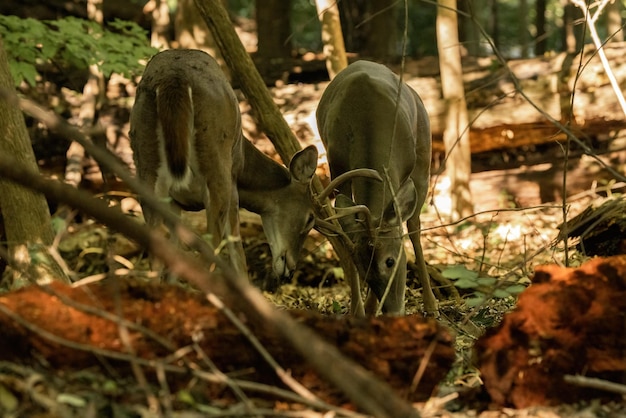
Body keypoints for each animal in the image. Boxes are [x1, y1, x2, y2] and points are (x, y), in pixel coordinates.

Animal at [130, 49, 316, 284]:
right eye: (311, 218)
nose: (290, 270)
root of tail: (173, 79)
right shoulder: (233, 187)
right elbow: (238, 254)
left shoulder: (174, 203)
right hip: (217, 166)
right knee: (210, 249)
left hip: (146, 166)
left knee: (157, 253)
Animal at [314, 59, 436, 316]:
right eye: (363, 270)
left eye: (390, 261)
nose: (393, 311)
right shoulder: (336, 165)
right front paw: (360, 312)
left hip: (424, 156)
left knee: (414, 226)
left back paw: (431, 305)